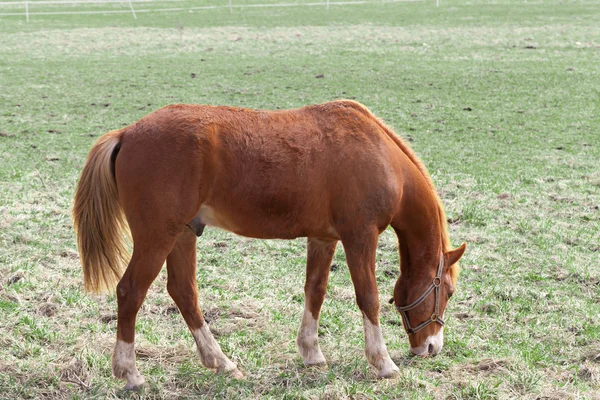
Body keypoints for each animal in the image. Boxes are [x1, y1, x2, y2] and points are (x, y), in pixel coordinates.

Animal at [74, 98, 464, 390]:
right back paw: (131, 373)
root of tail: (126, 133)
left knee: (183, 292)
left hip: (182, 234)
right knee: (130, 291)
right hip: (158, 237)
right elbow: (368, 297)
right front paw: (382, 362)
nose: (431, 347)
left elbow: (315, 291)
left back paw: (221, 362)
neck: (379, 153)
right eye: (447, 290)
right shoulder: (360, 236)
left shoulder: (323, 239)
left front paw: (311, 353)